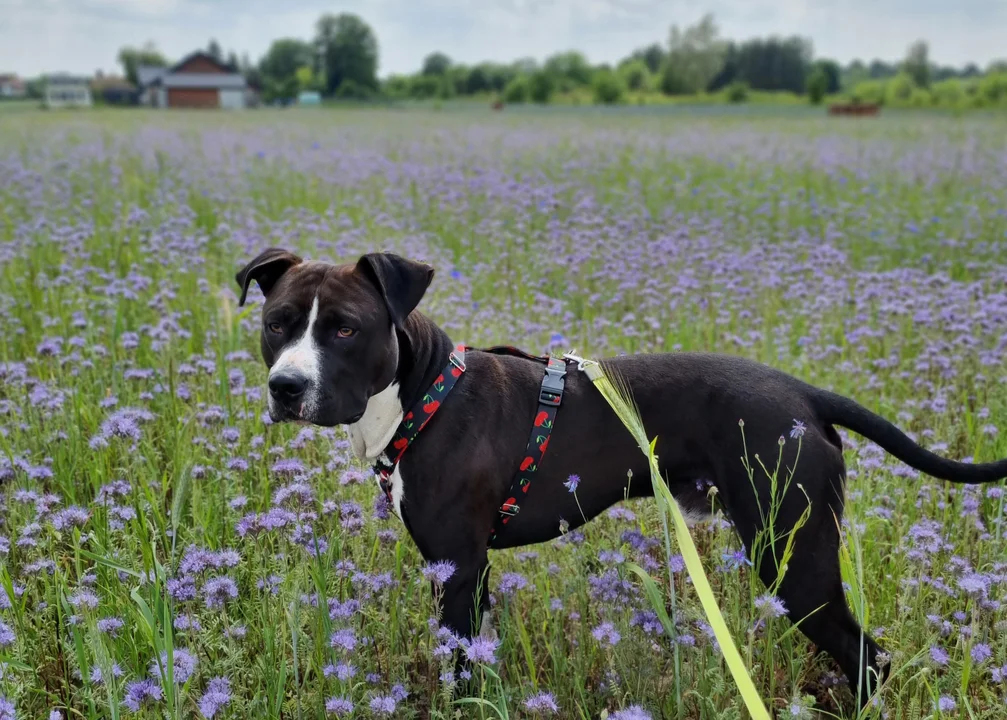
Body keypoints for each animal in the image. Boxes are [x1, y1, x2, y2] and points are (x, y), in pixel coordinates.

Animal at [233, 247, 1007, 704]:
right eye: (276, 323)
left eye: (345, 328)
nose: (286, 388)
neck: (423, 392)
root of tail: (802, 394)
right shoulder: (466, 572)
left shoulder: (458, 565)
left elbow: (460, 671)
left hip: (796, 561)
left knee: (868, 656)